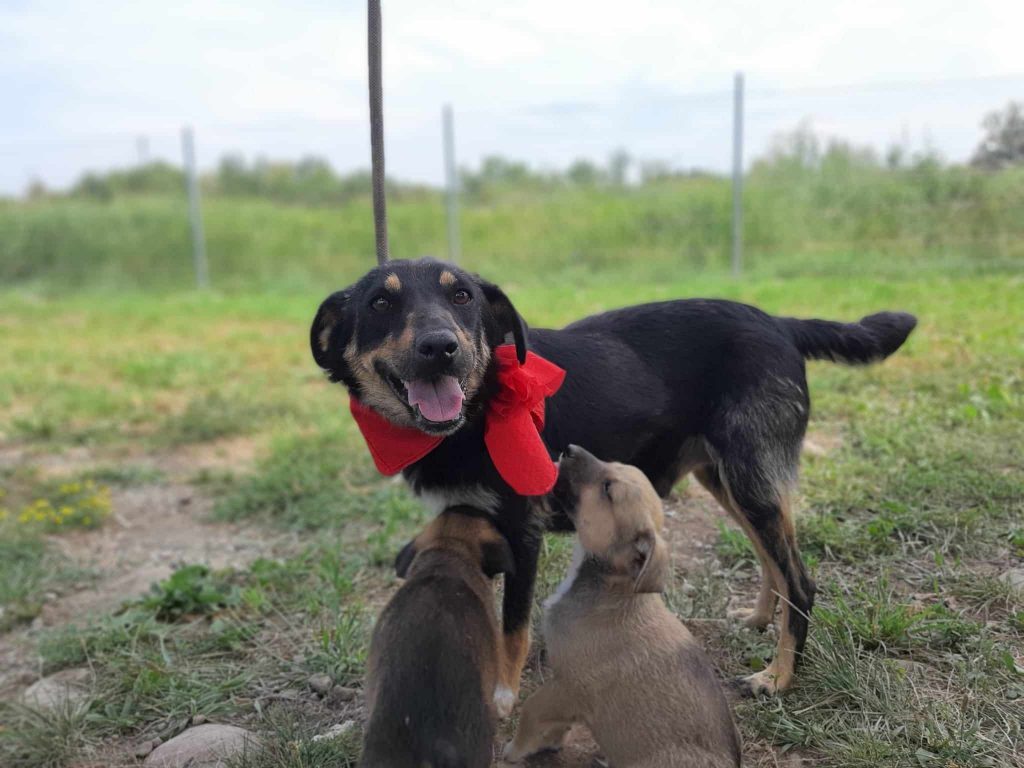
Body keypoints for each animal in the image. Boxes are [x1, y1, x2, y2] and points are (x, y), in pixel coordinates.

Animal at [313, 260, 921, 704]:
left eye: (461, 296)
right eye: (381, 303)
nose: (440, 347)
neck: (477, 413)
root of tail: (779, 322)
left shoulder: (521, 532)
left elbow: (513, 627)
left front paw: (503, 696)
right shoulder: (470, 524)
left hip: (749, 476)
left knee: (801, 578)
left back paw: (778, 677)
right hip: (727, 479)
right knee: (774, 556)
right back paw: (757, 619)